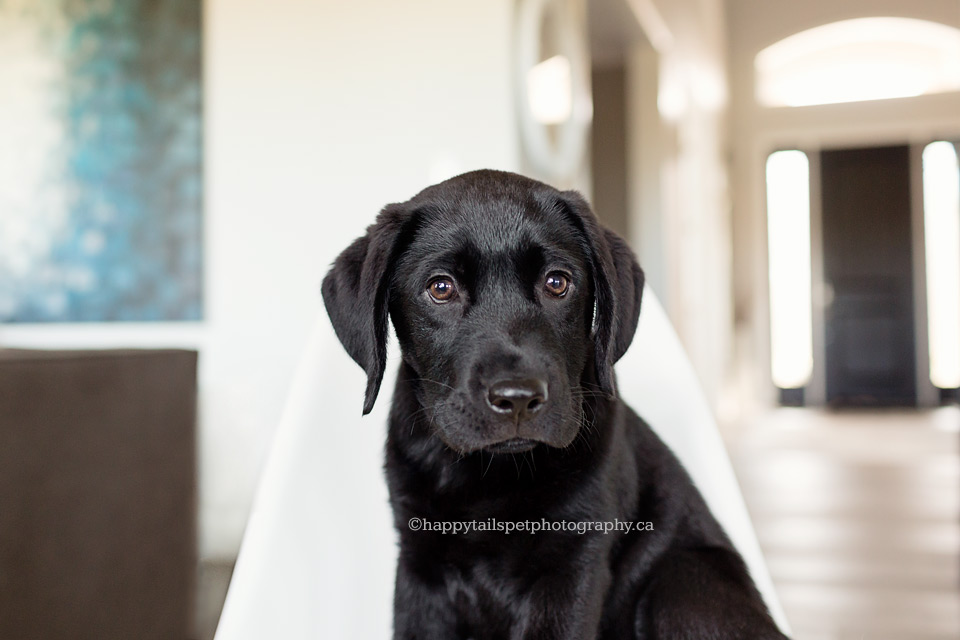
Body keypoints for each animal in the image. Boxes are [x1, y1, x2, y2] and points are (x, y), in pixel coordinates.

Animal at [322, 170, 788, 640]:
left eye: (557, 283)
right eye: (440, 288)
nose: (517, 398)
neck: (492, 478)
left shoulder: (574, 564)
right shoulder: (420, 570)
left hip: (680, 586)